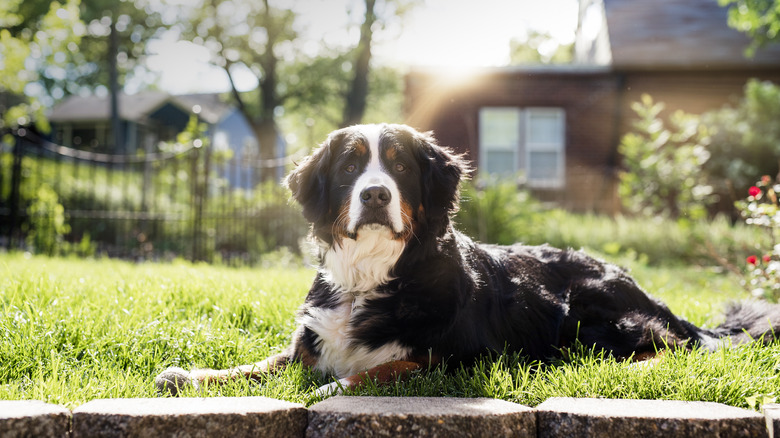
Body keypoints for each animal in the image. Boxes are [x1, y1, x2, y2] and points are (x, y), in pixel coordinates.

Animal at [155, 122, 780, 396]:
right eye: (352, 166)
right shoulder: (308, 341)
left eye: (400, 166)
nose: (375, 194)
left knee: (671, 350)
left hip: (592, 306)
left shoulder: (457, 357)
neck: (375, 275)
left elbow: (380, 369)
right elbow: (260, 364)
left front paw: (332, 388)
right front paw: (192, 374)